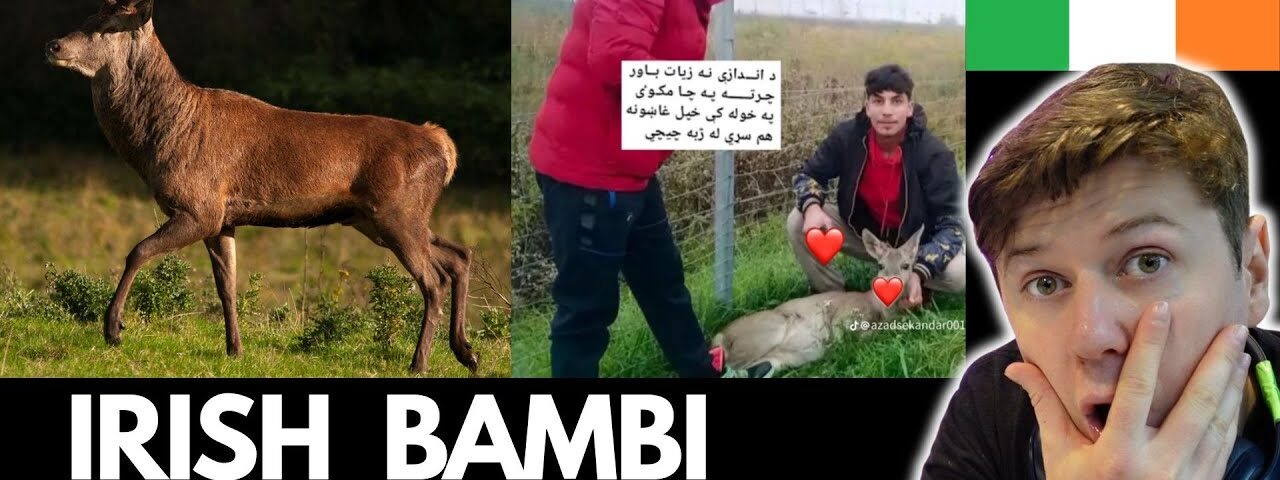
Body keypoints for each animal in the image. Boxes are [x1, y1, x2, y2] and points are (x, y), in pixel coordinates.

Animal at [44, 0, 476, 375]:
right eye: (87, 16)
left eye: (107, 27)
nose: (53, 45)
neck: (157, 143)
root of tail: (444, 146)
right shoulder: (223, 220)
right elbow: (227, 286)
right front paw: (235, 349)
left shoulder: (200, 208)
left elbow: (138, 251)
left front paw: (113, 329)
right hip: (380, 219)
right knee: (459, 255)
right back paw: (465, 353)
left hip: (395, 213)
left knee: (433, 280)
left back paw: (420, 363)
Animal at [710, 227, 924, 378]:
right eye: (880, 265)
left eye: (906, 265)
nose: (891, 284)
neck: (878, 308)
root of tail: (721, 335)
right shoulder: (841, 317)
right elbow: (850, 337)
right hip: (765, 333)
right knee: (732, 365)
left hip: (777, 357)